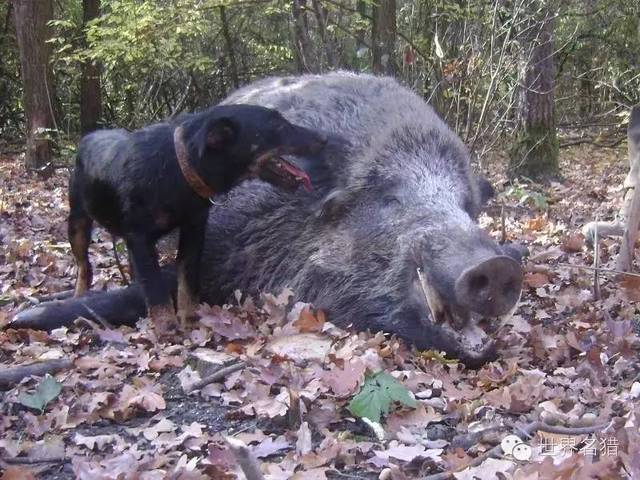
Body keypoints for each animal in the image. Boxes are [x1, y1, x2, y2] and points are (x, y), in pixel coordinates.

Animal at [69, 105, 324, 326]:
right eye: (277, 126)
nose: (324, 139)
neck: (177, 171)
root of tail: (86, 138)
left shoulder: (193, 230)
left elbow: (188, 282)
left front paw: (189, 322)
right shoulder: (139, 236)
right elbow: (155, 288)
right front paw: (167, 330)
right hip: (77, 222)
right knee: (84, 266)